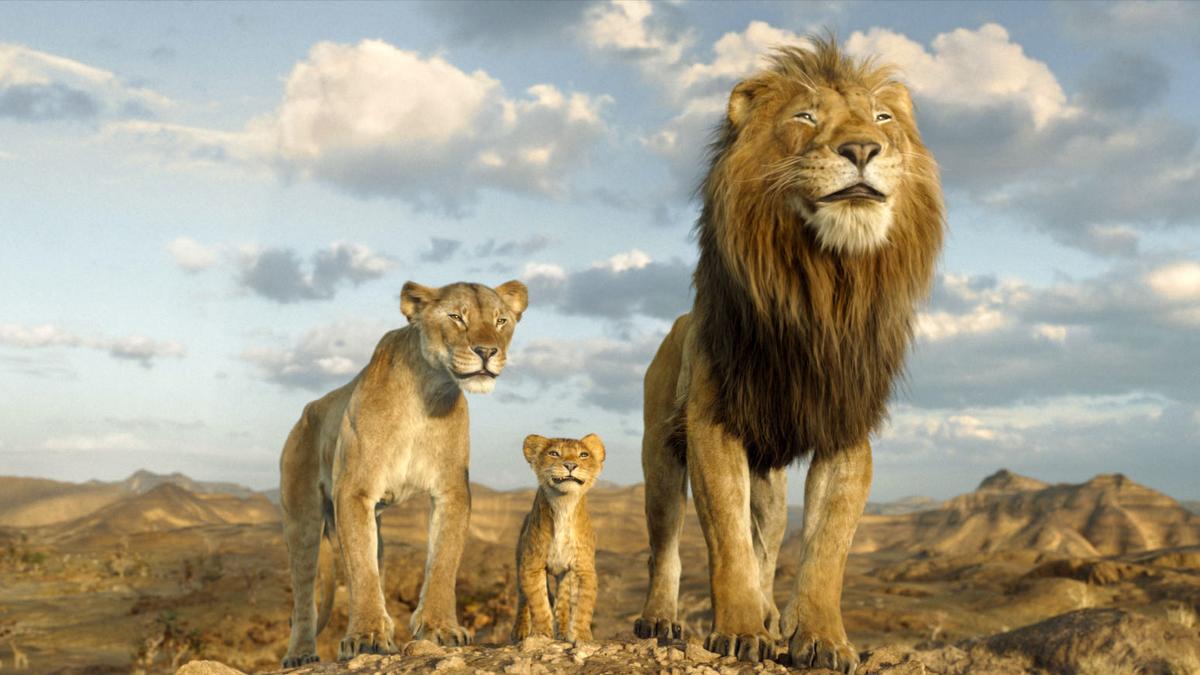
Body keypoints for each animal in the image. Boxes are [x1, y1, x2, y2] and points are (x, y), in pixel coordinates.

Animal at [279, 280, 528, 667]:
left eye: (501, 320)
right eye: (456, 317)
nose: (487, 351)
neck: (427, 391)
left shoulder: (451, 490)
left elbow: (443, 561)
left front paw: (440, 628)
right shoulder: (354, 490)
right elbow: (361, 570)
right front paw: (366, 637)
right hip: (302, 517)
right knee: (305, 592)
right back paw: (300, 654)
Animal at [511, 433, 605, 645]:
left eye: (583, 454)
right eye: (554, 453)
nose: (570, 465)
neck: (563, 505)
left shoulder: (583, 568)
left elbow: (583, 606)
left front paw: (581, 637)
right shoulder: (532, 565)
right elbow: (538, 603)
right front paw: (541, 635)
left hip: (565, 575)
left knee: (562, 603)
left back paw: (562, 631)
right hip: (520, 561)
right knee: (522, 599)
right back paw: (520, 631)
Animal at [634, 38, 944, 671]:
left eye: (883, 119)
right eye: (805, 117)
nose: (862, 149)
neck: (823, 286)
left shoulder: (845, 428)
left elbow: (826, 549)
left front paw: (821, 639)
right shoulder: (713, 424)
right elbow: (727, 542)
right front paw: (738, 630)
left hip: (770, 481)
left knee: (769, 542)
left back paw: (772, 613)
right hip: (659, 454)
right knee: (666, 543)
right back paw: (661, 620)